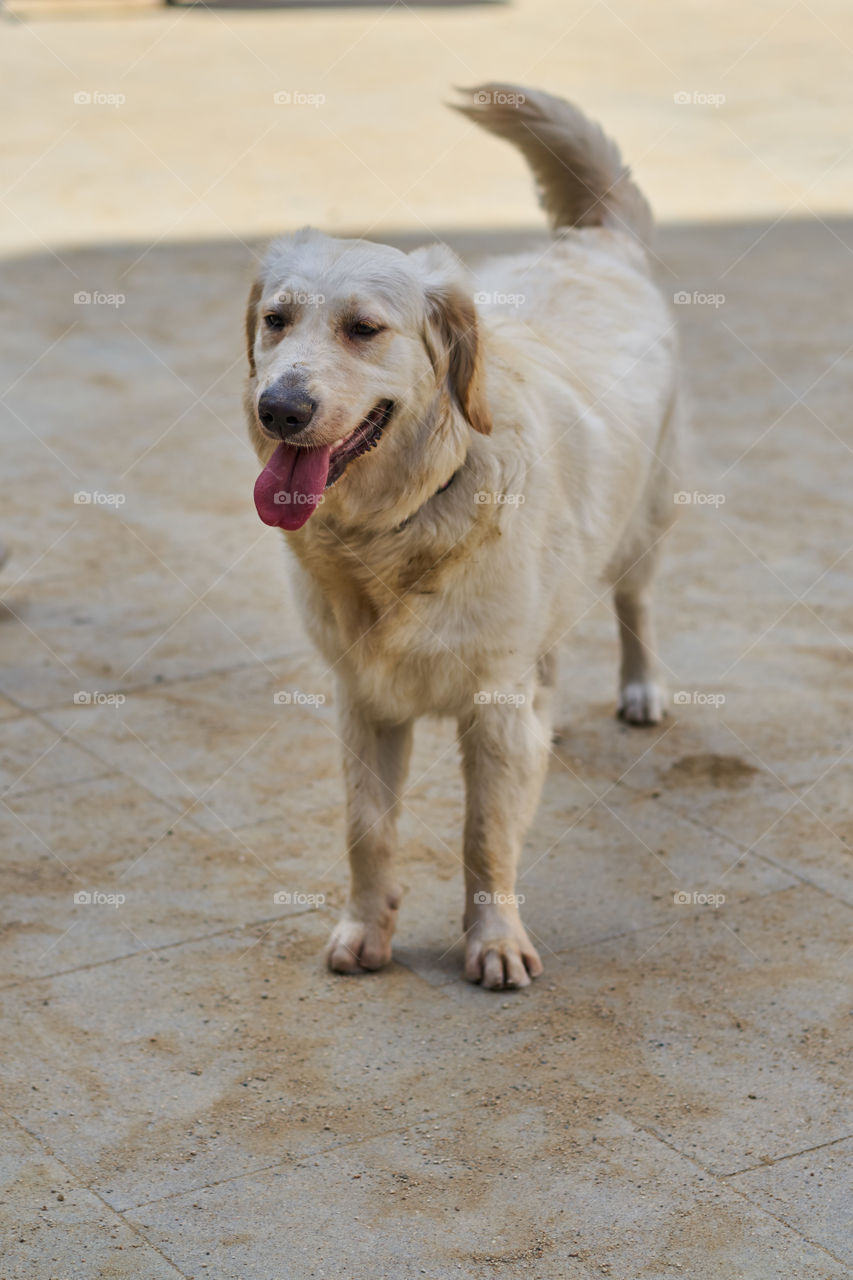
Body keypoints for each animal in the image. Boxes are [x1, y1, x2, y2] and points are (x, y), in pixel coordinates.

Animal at [244, 87, 676, 988]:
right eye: (276, 320)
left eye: (363, 329)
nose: (279, 410)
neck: (400, 522)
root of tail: (595, 243)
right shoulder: (363, 696)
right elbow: (366, 829)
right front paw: (366, 931)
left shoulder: (492, 706)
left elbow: (485, 834)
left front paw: (494, 940)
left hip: (646, 519)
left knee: (636, 601)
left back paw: (641, 687)